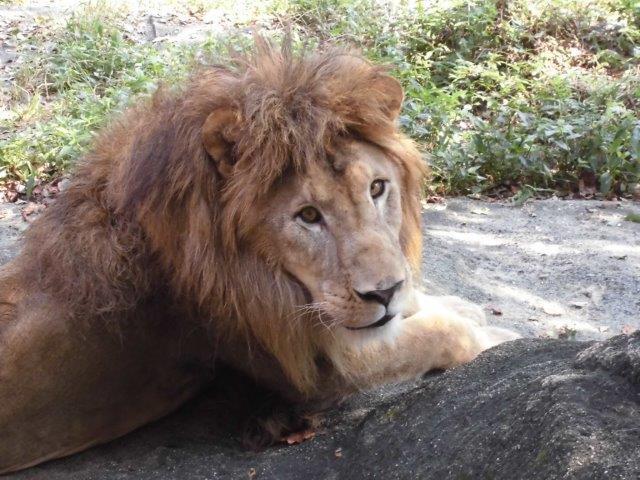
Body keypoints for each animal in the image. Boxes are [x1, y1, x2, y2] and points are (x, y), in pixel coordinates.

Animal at [0, 40, 516, 472]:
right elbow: (438, 334)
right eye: (308, 215)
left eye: (377, 188)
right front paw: (491, 335)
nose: (384, 292)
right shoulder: (311, 372)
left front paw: (459, 307)